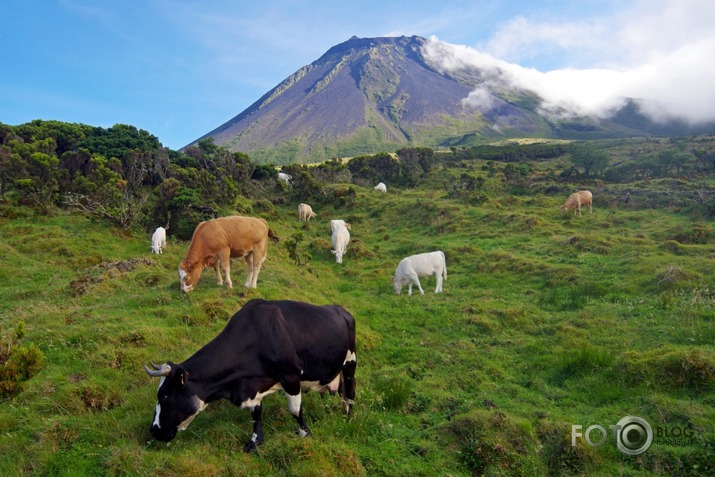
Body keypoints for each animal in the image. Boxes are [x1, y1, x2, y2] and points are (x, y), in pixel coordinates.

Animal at [145, 300, 358, 452]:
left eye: (164, 395)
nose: (153, 430)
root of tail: (341, 310)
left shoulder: (290, 376)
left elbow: (295, 410)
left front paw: (305, 434)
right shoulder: (253, 387)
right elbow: (256, 414)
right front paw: (255, 441)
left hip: (350, 362)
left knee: (350, 393)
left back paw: (348, 418)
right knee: (342, 393)